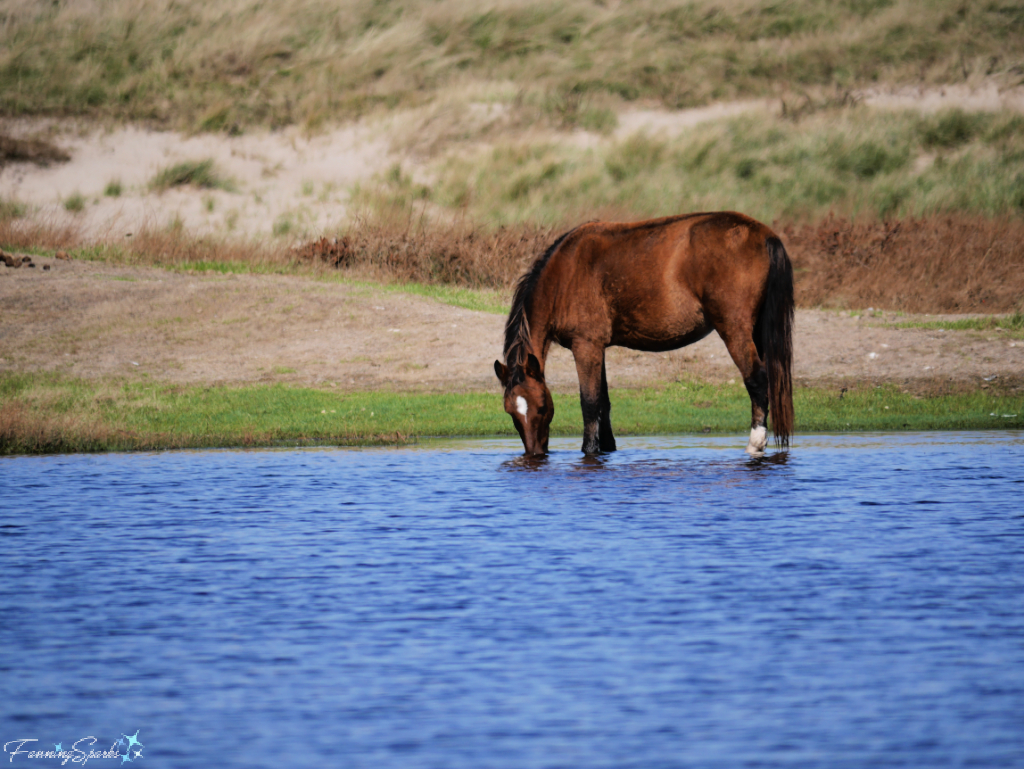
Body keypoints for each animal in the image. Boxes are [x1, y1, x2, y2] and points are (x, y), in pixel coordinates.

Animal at [491, 210, 794, 456]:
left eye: (542, 406)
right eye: (510, 412)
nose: (535, 454)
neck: (564, 275)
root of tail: (765, 235)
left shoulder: (585, 345)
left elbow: (589, 402)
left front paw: (590, 450)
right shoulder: (598, 348)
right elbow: (603, 402)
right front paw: (607, 447)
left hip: (735, 330)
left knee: (757, 380)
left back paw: (755, 444)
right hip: (757, 331)